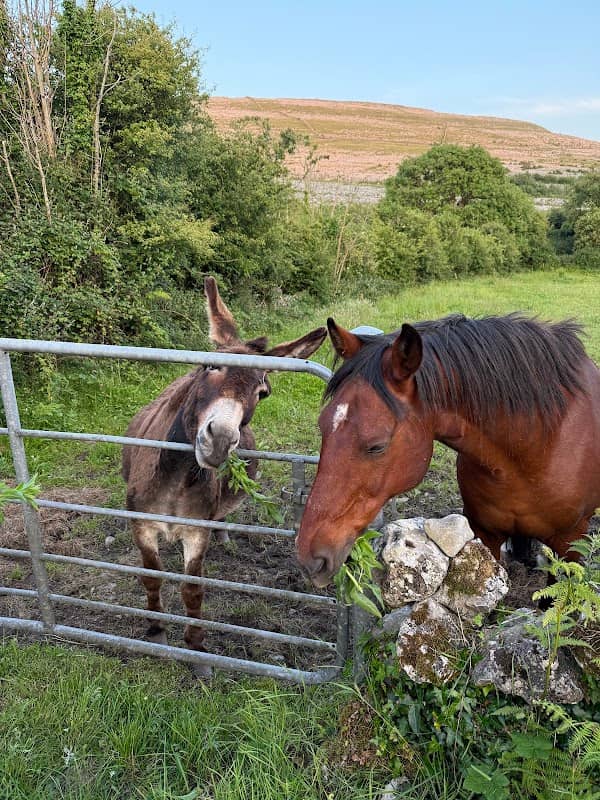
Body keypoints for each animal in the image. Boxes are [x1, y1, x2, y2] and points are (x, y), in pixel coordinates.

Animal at [122, 277, 326, 654]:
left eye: (263, 392)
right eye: (210, 366)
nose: (219, 439)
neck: (175, 480)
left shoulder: (196, 531)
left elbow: (193, 587)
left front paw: (195, 642)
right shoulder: (141, 525)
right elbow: (152, 576)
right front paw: (156, 628)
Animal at [295, 313, 600, 588]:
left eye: (376, 446)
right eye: (323, 427)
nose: (309, 556)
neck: (536, 447)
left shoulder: (570, 544)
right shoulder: (485, 533)